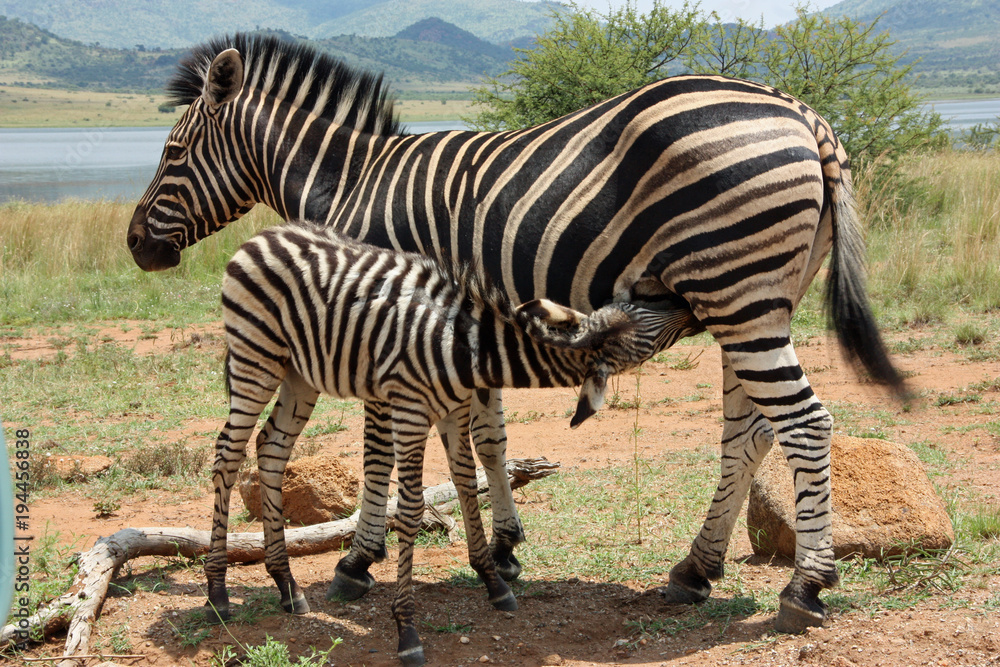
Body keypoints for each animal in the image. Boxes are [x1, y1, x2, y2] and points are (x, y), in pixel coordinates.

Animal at [210, 223, 680, 664]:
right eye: (646, 326)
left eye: (636, 308)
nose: (675, 294)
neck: (465, 349)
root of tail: (266, 233)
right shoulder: (410, 412)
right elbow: (412, 510)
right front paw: (407, 631)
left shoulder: (455, 411)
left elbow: (468, 486)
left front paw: (493, 582)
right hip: (256, 358)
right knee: (227, 455)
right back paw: (217, 592)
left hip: (298, 373)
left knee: (271, 448)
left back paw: (287, 586)